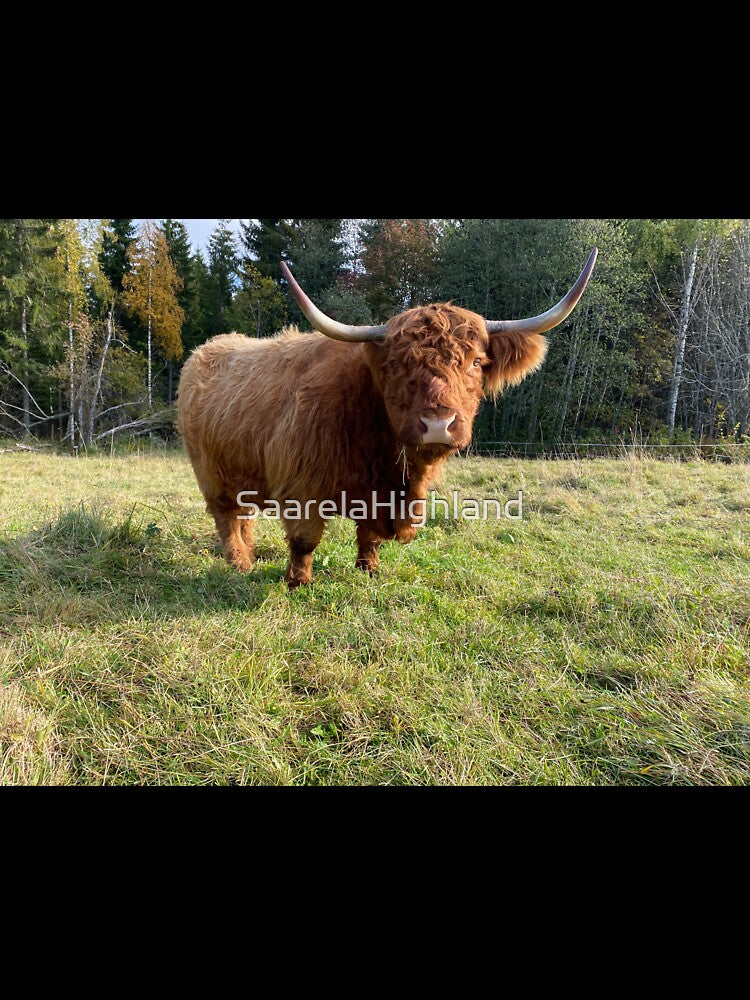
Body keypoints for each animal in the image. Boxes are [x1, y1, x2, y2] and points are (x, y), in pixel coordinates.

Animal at [177, 249, 597, 588]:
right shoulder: (302, 484)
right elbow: (304, 540)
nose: (438, 425)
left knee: (244, 516)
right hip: (210, 474)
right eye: (395, 364)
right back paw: (240, 564)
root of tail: (205, 350)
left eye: (477, 362)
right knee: (227, 517)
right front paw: (298, 583)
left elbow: (369, 536)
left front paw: (370, 571)